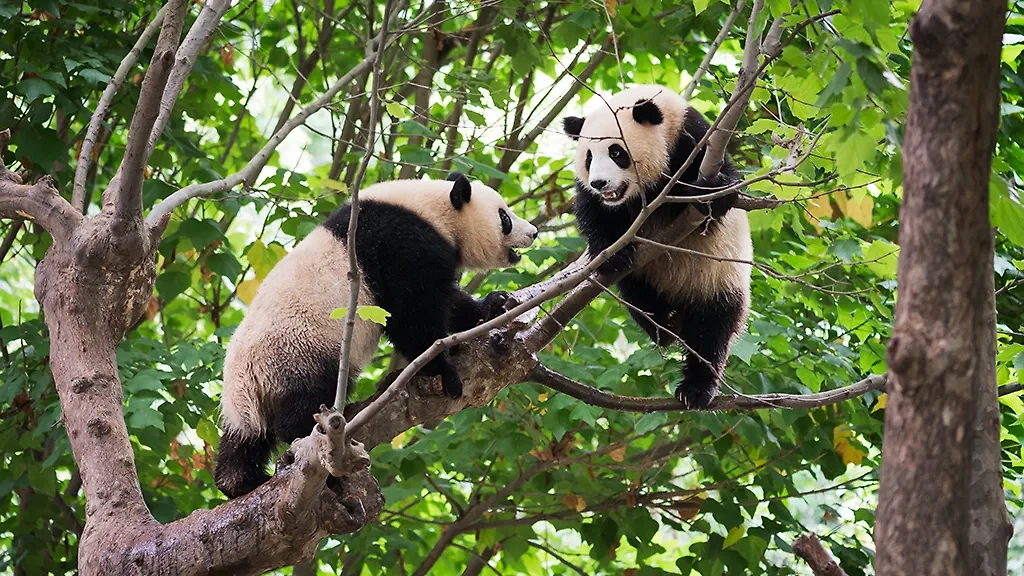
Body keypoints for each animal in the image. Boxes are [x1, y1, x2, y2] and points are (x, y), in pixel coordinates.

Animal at [212, 171, 540, 498]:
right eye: (504, 216)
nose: (534, 233)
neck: (432, 211)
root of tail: (245, 381)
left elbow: (445, 301)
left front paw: (494, 305)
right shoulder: (401, 244)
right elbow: (413, 311)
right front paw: (443, 371)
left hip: (252, 396)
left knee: (245, 439)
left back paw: (238, 481)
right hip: (300, 351)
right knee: (306, 403)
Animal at [561, 84, 753, 407]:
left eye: (616, 152)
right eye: (588, 157)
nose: (600, 182)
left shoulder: (694, 141)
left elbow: (721, 188)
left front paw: (711, 195)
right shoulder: (598, 200)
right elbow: (593, 211)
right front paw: (613, 253)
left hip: (719, 278)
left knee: (712, 330)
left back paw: (695, 388)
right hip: (645, 278)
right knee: (638, 295)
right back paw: (663, 325)